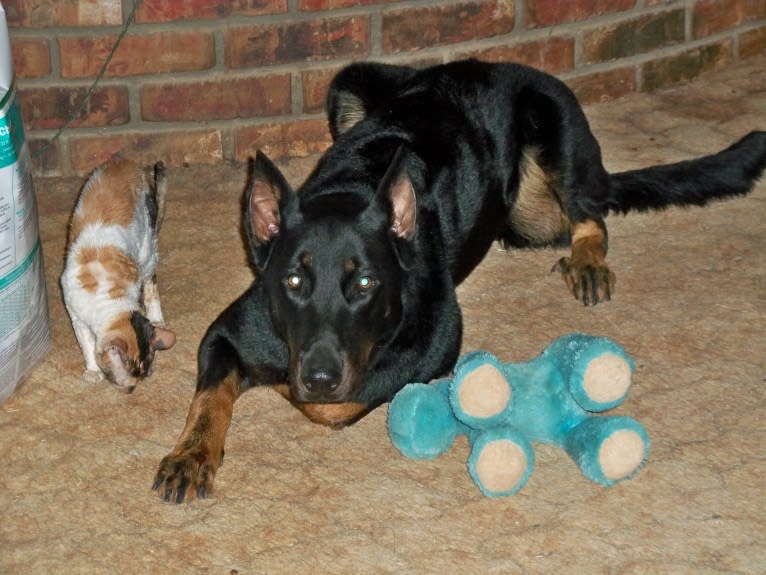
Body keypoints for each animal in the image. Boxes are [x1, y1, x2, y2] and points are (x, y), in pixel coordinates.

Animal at [61, 156, 176, 392]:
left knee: (151, 282)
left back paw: (157, 318)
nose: (132, 389)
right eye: (132, 377)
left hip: (147, 251)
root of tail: (126, 161)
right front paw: (93, 371)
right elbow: (87, 344)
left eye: (142, 375)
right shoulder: (76, 315)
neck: (107, 294)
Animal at [152, 60, 766, 504]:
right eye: (294, 280)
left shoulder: (434, 344)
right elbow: (209, 398)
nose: (319, 376)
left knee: (592, 213)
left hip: (555, 129)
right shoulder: (228, 332)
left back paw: (589, 257)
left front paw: (289, 390)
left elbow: (332, 406)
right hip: (353, 83)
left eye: (366, 283)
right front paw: (192, 455)